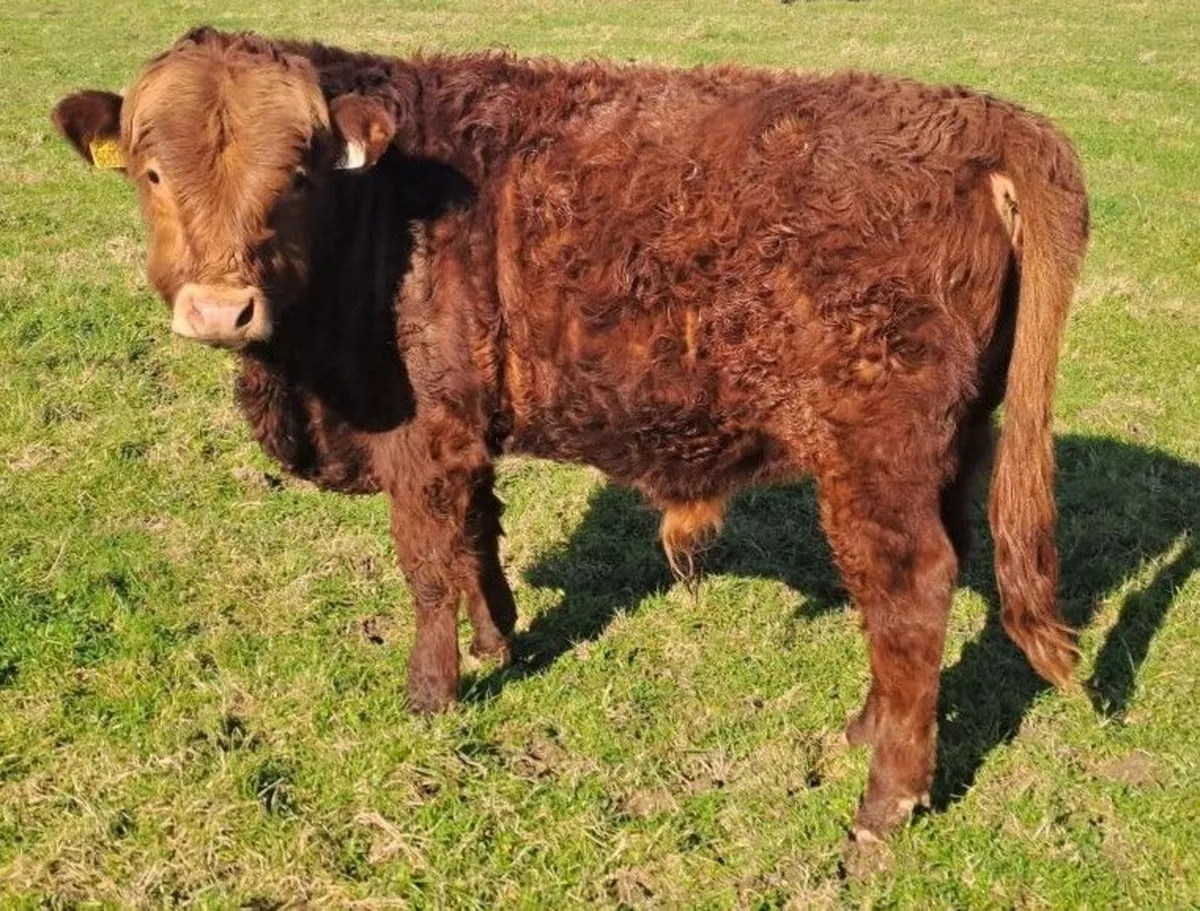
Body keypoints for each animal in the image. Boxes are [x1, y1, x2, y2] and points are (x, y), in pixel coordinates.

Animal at [51, 27, 1088, 839]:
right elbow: (478, 539)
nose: (219, 308)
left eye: (295, 175)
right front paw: (499, 642)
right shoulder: (467, 430)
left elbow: (427, 564)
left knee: (909, 589)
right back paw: (868, 728)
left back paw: (882, 805)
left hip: (877, 455)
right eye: (151, 171)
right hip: (951, 446)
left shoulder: (422, 433)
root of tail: (983, 119)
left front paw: (430, 694)